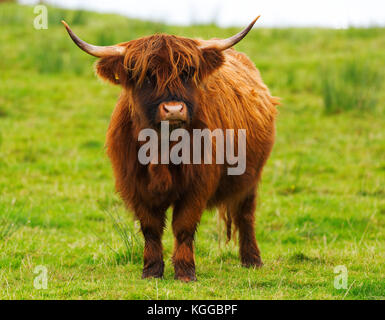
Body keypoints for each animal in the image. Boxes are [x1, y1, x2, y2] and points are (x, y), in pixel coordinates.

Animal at [63, 16, 280, 282]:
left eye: (187, 73)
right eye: (146, 76)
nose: (174, 109)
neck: (162, 148)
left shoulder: (197, 185)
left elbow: (183, 226)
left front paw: (185, 272)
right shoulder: (135, 184)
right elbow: (150, 228)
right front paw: (151, 270)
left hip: (250, 177)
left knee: (246, 215)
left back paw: (252, 260)